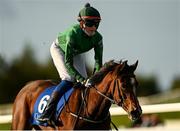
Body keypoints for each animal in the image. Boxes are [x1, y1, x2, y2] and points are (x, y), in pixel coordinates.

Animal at [11, 59, 143, 129]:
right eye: (124, 85)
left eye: (136, 84)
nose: (136, 111)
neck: (90, 111)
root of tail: (26, 86)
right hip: (20, 124)